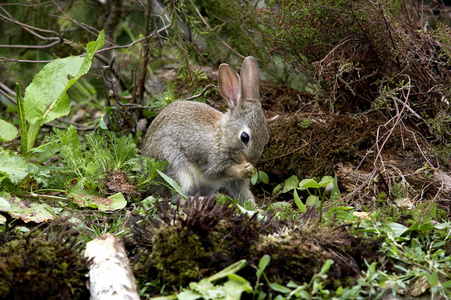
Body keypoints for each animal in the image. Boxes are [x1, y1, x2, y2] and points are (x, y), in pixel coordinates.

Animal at [142, 56, 268, 205]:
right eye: (244, 137)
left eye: (266, 139)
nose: (251, 161)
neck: (222, 138)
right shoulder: (211, 162)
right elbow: (216, 173)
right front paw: (245, 169)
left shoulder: (236, 182)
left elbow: (244, 194)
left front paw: (254, 207)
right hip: (175, 167)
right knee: (177, 197)